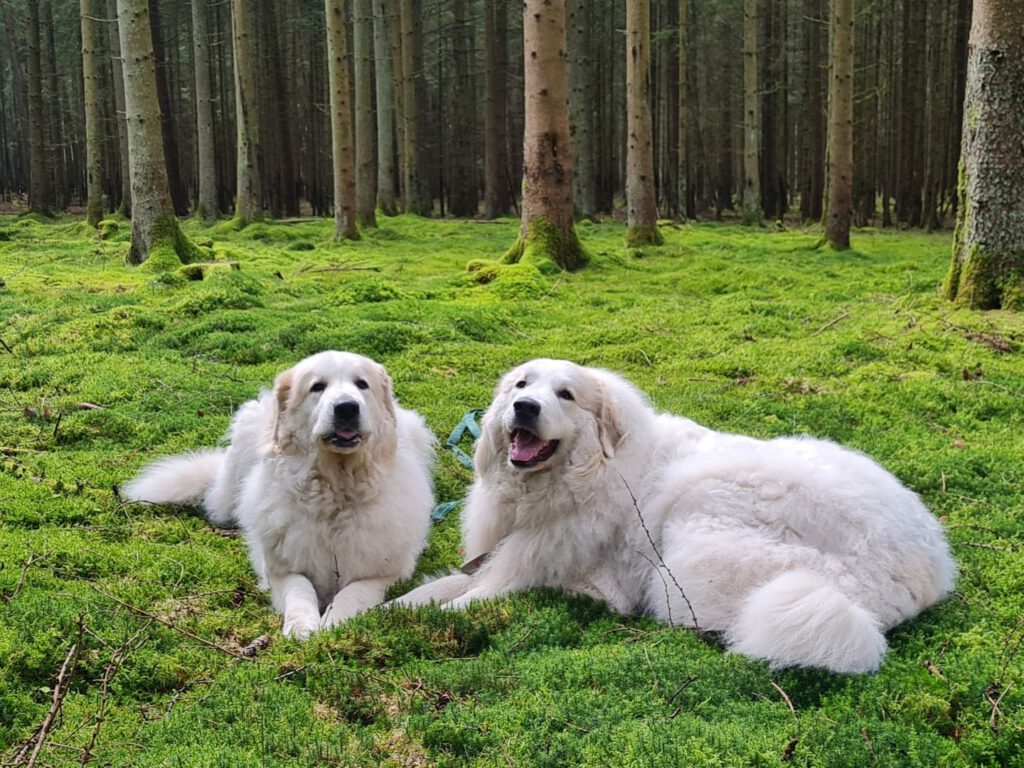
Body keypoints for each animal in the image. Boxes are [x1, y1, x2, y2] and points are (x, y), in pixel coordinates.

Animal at [123, 352, 436, 638]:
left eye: (362, 384)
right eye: (317, 387)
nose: (346, 407)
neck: (336, 492)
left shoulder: (386, 572)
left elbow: (352, 591)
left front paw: (336, 620)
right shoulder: (279, 570)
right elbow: (300, 589)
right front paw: (302, 625)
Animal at [395, 360, 954, 671]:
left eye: (566, 395)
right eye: (520, 385)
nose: (525, 408)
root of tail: (929, 572)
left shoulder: (532, 564)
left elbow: (471, 599)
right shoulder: (503, 551)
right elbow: (435, 589)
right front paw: (386, 611)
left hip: (697, 524)